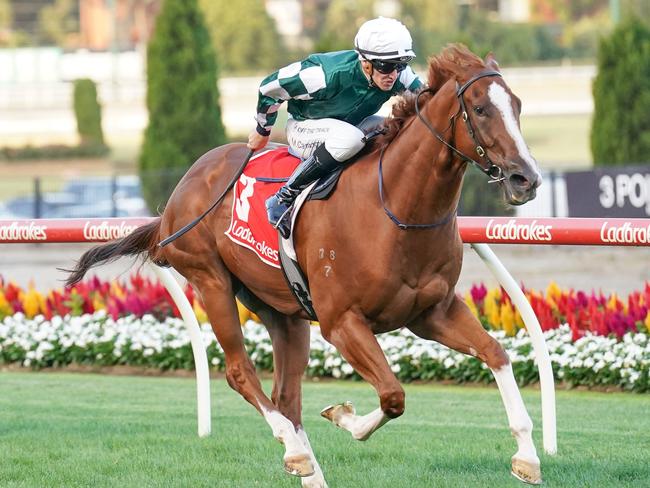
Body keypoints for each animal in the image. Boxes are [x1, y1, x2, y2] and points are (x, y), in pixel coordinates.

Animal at [66, 44, 540, 484]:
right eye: (480, 108)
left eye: (517, 105)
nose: (527, 179)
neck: (395, 207)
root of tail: (177, 198)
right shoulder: (342, 321)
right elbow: (392, 395)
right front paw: (343, 416)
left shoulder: (431, 312)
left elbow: (496, 354)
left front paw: (527, 458)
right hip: (211, 280)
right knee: (241, 374)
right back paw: (294, 450)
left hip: (283, 311)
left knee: (286, 396)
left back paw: (308, 468)